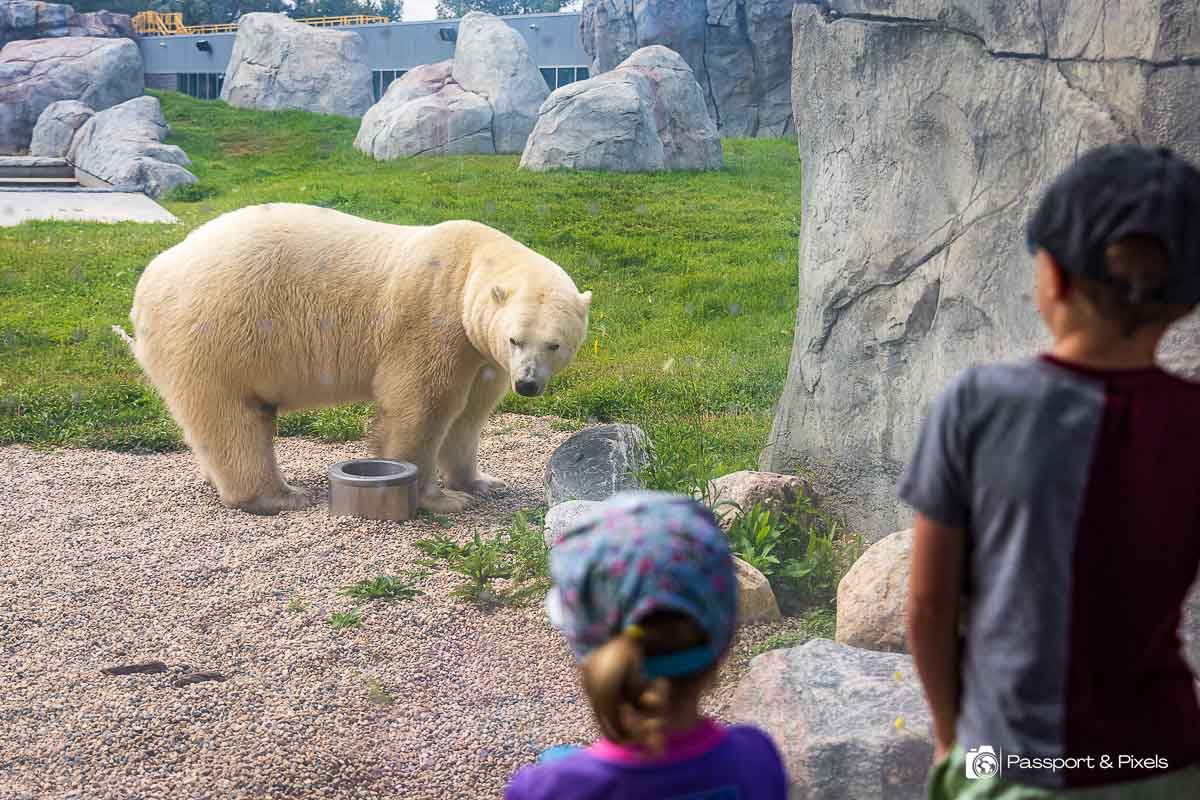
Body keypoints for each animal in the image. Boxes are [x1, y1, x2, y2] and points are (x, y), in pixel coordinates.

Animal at [113, 202, 591, 515]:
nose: (527, 384)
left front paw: (481, 482)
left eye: (554, 344)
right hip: (217, 333)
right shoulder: (432, 318)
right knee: (233, 418)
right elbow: (422, 406)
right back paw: (278, 496)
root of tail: (150, 281)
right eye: (515, 338)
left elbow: (469, 416)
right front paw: (440, 499)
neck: (470, 263)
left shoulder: (480, 352)